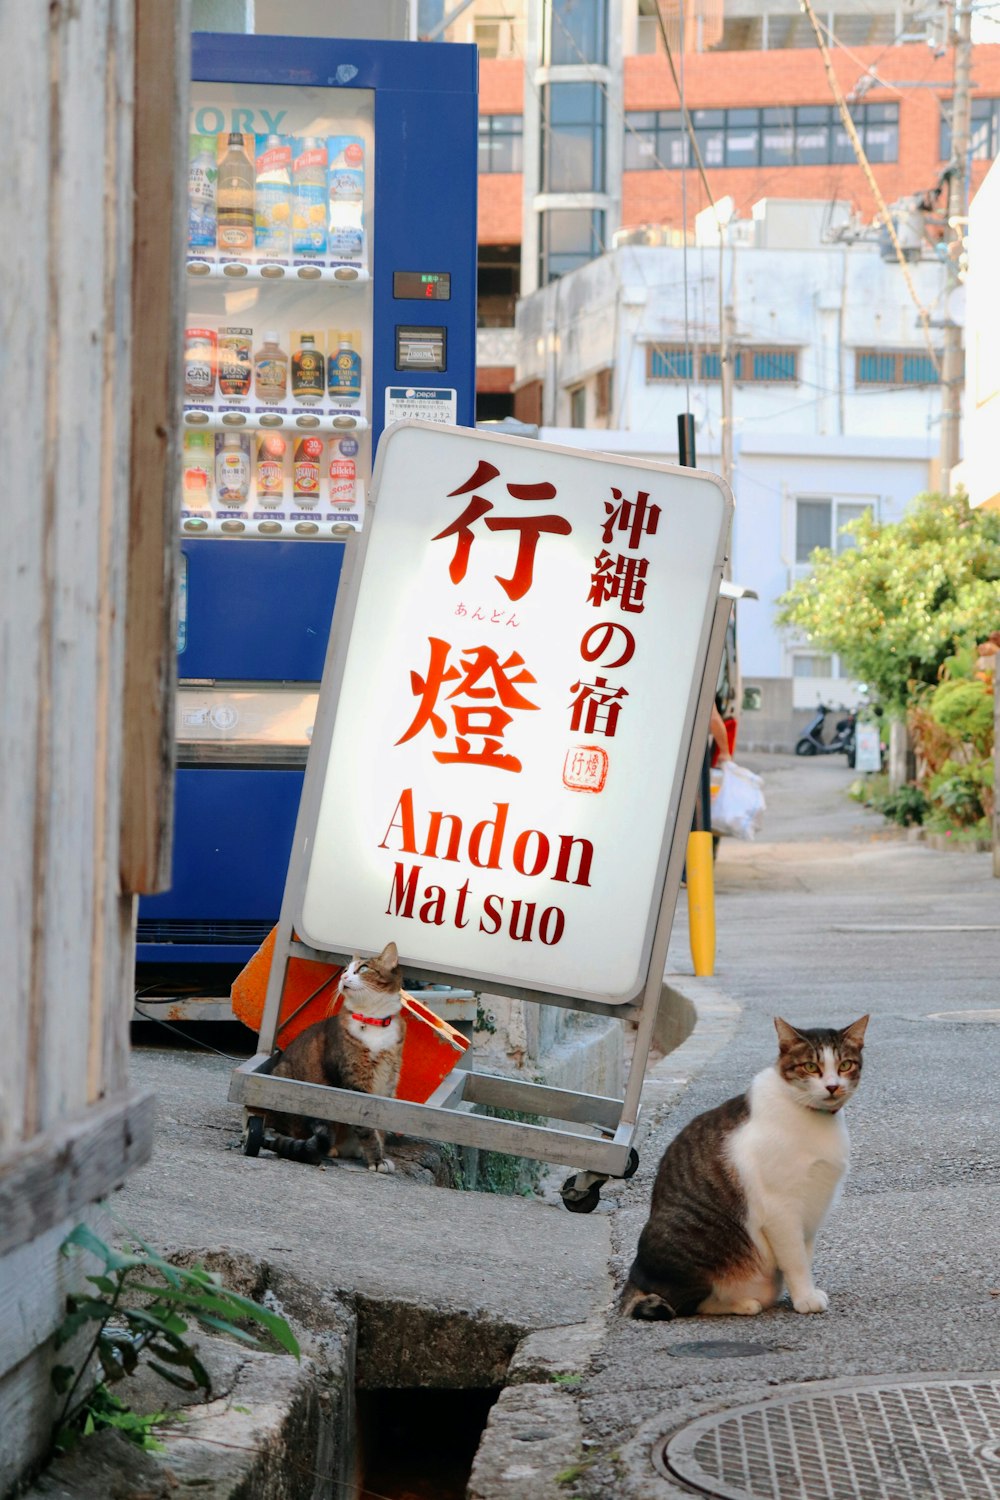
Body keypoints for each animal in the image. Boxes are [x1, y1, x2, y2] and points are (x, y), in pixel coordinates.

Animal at [265, 936, 410, 1170]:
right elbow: (367, 1126)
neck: (373, 1020)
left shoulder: (389, 1081)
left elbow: (380, 1124)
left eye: (363, 968)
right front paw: (376, 1160)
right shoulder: (354, 1080)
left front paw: (379, 1154)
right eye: (345, 970)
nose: (343, 976)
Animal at [620, 1014, 869, 1320]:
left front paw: (805, 1292)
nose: (833, 1086)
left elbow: (805, 1255)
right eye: (811, 1067)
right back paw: (743, 1305)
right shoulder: (781, 1209)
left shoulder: (812, 1208)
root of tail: (634, 1276)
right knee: (686, 1304)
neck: (812, 1117)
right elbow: (796, 1259)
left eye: (845, 1065)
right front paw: (805, 1299)